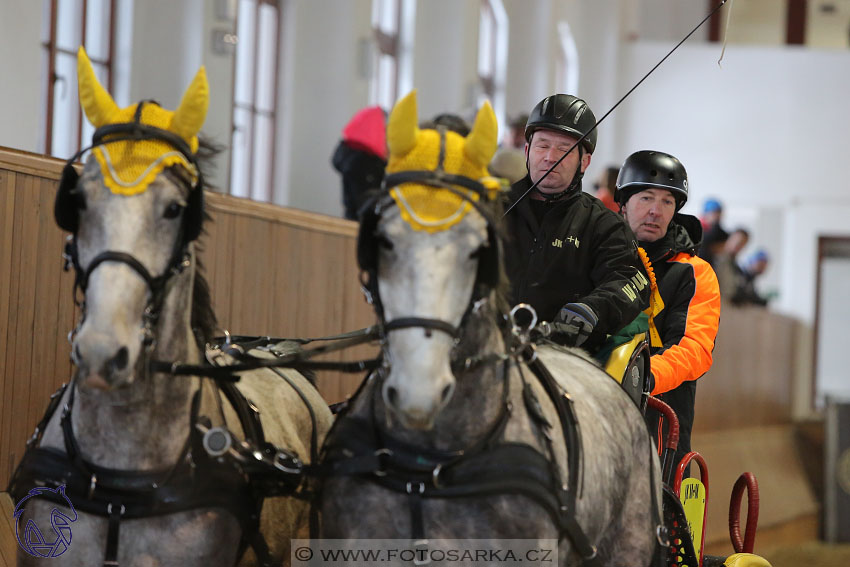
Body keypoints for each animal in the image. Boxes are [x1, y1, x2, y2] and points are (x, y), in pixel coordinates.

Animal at [318, 91, 664, 564]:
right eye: (382, 240)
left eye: (477, 250)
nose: (419, 389)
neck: (430, 467)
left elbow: (623, 271)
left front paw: (579, 316)